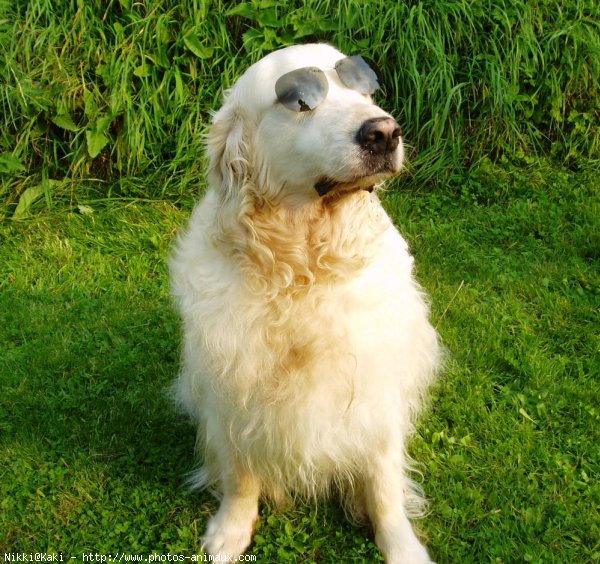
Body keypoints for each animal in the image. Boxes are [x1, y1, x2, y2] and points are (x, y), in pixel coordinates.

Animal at [169, 41, 440, 560]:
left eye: (363, 88)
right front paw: (230, 531)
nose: (383, 132)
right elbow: (240, 477)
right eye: (299, 101)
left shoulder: (376, 389)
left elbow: (383, 484)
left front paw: (401, 545)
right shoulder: (231, 388)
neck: (302, 272)